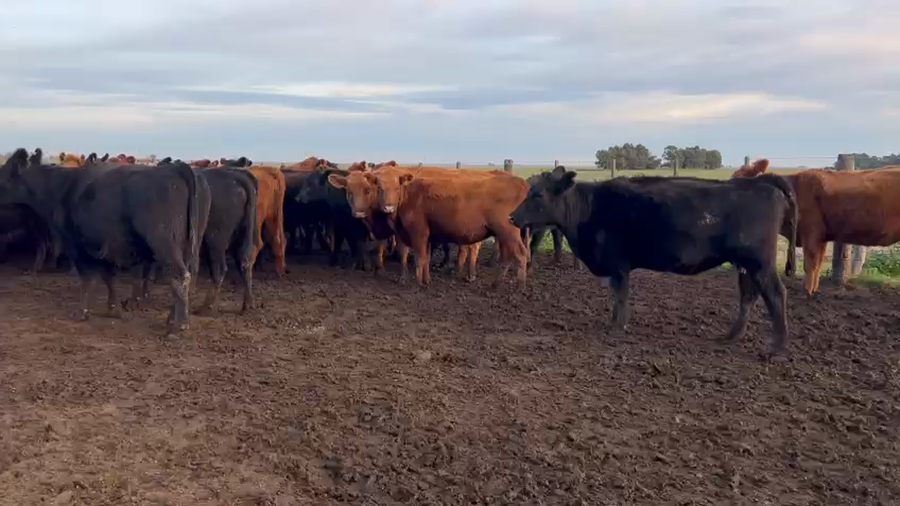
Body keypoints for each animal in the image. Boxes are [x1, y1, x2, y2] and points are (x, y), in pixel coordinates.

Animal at [0, 148, 210, 336]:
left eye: (5, 172)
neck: (61, 186)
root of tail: (177, 168)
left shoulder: (76, 244)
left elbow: (87, 279)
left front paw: (82, 312)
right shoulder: (104, 245)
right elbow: (109, 276)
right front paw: (113, 309)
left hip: (164, 242)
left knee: (179, 276)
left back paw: (178, 327)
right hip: (189, 243)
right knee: (186, 275)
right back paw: (172, 320)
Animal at [509, 166, 798, 361]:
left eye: (537, 194)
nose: (512, 217)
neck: (589, 206)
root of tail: (761, 182)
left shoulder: (618, 263)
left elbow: (621, 294)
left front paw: (617, 327)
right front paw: (615, 323)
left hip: (760, 263)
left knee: (776, 295)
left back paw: (777, 350)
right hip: (746, 264)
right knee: (749, 295)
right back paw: (732, 336)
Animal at [732, 158, 900, 295]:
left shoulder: (811, 233)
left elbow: (810, 263)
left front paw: (807, 291)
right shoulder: (821, 238)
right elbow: (818, 264)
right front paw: (814, 289)